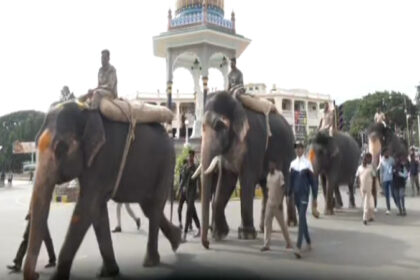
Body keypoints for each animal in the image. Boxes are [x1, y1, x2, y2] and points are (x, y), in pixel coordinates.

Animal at [23, 102, 180, 280]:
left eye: (61, 148)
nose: (36, 273)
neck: (85, 112)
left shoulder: (103, 159)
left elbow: (86, 207)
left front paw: (56, 278)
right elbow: (97, 210)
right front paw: (108, 272)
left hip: (166, 164)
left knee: (154, 207)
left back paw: (151, 261)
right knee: (149, 207)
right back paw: (177, 239)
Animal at [198, 92, 296, 249]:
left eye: (219, 126)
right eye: (202, 127)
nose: (207, 244)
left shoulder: (254, 143)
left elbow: (247, 180)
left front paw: (246, 235)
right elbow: (226, 182)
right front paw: (220, 234)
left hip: (288, 154)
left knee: (285, 186)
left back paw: (289, 224)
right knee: (266, 188)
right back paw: (264, 228)